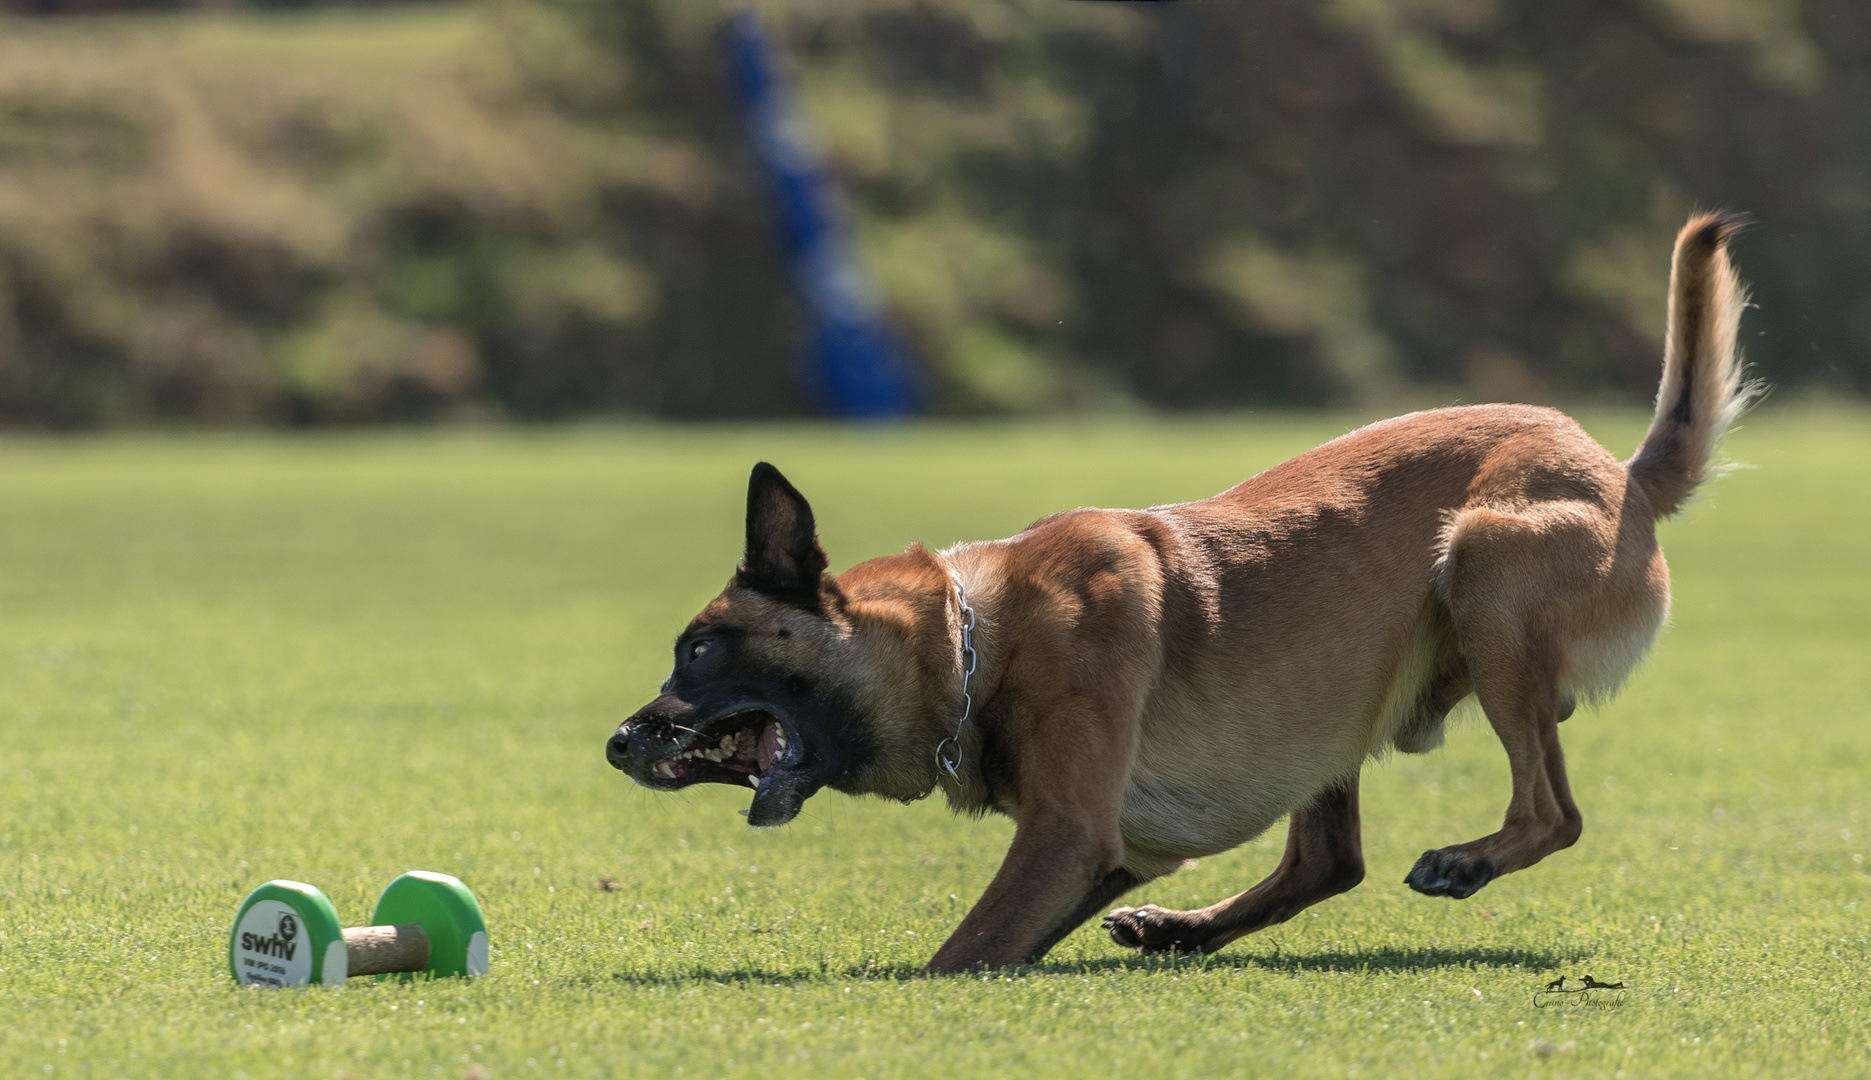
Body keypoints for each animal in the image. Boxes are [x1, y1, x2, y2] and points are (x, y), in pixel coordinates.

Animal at [609, 215, 1751, 973]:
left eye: (699, 651)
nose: (618, 742)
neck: (974, 635)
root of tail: (1618, 472)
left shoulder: (1066, 831)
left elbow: (958, 950)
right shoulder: (1116, 843)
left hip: (1482, 572)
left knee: (1551, 811)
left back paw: (1465, 862)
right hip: (1332, 693)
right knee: (1327, 860)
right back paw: (1185, 930)